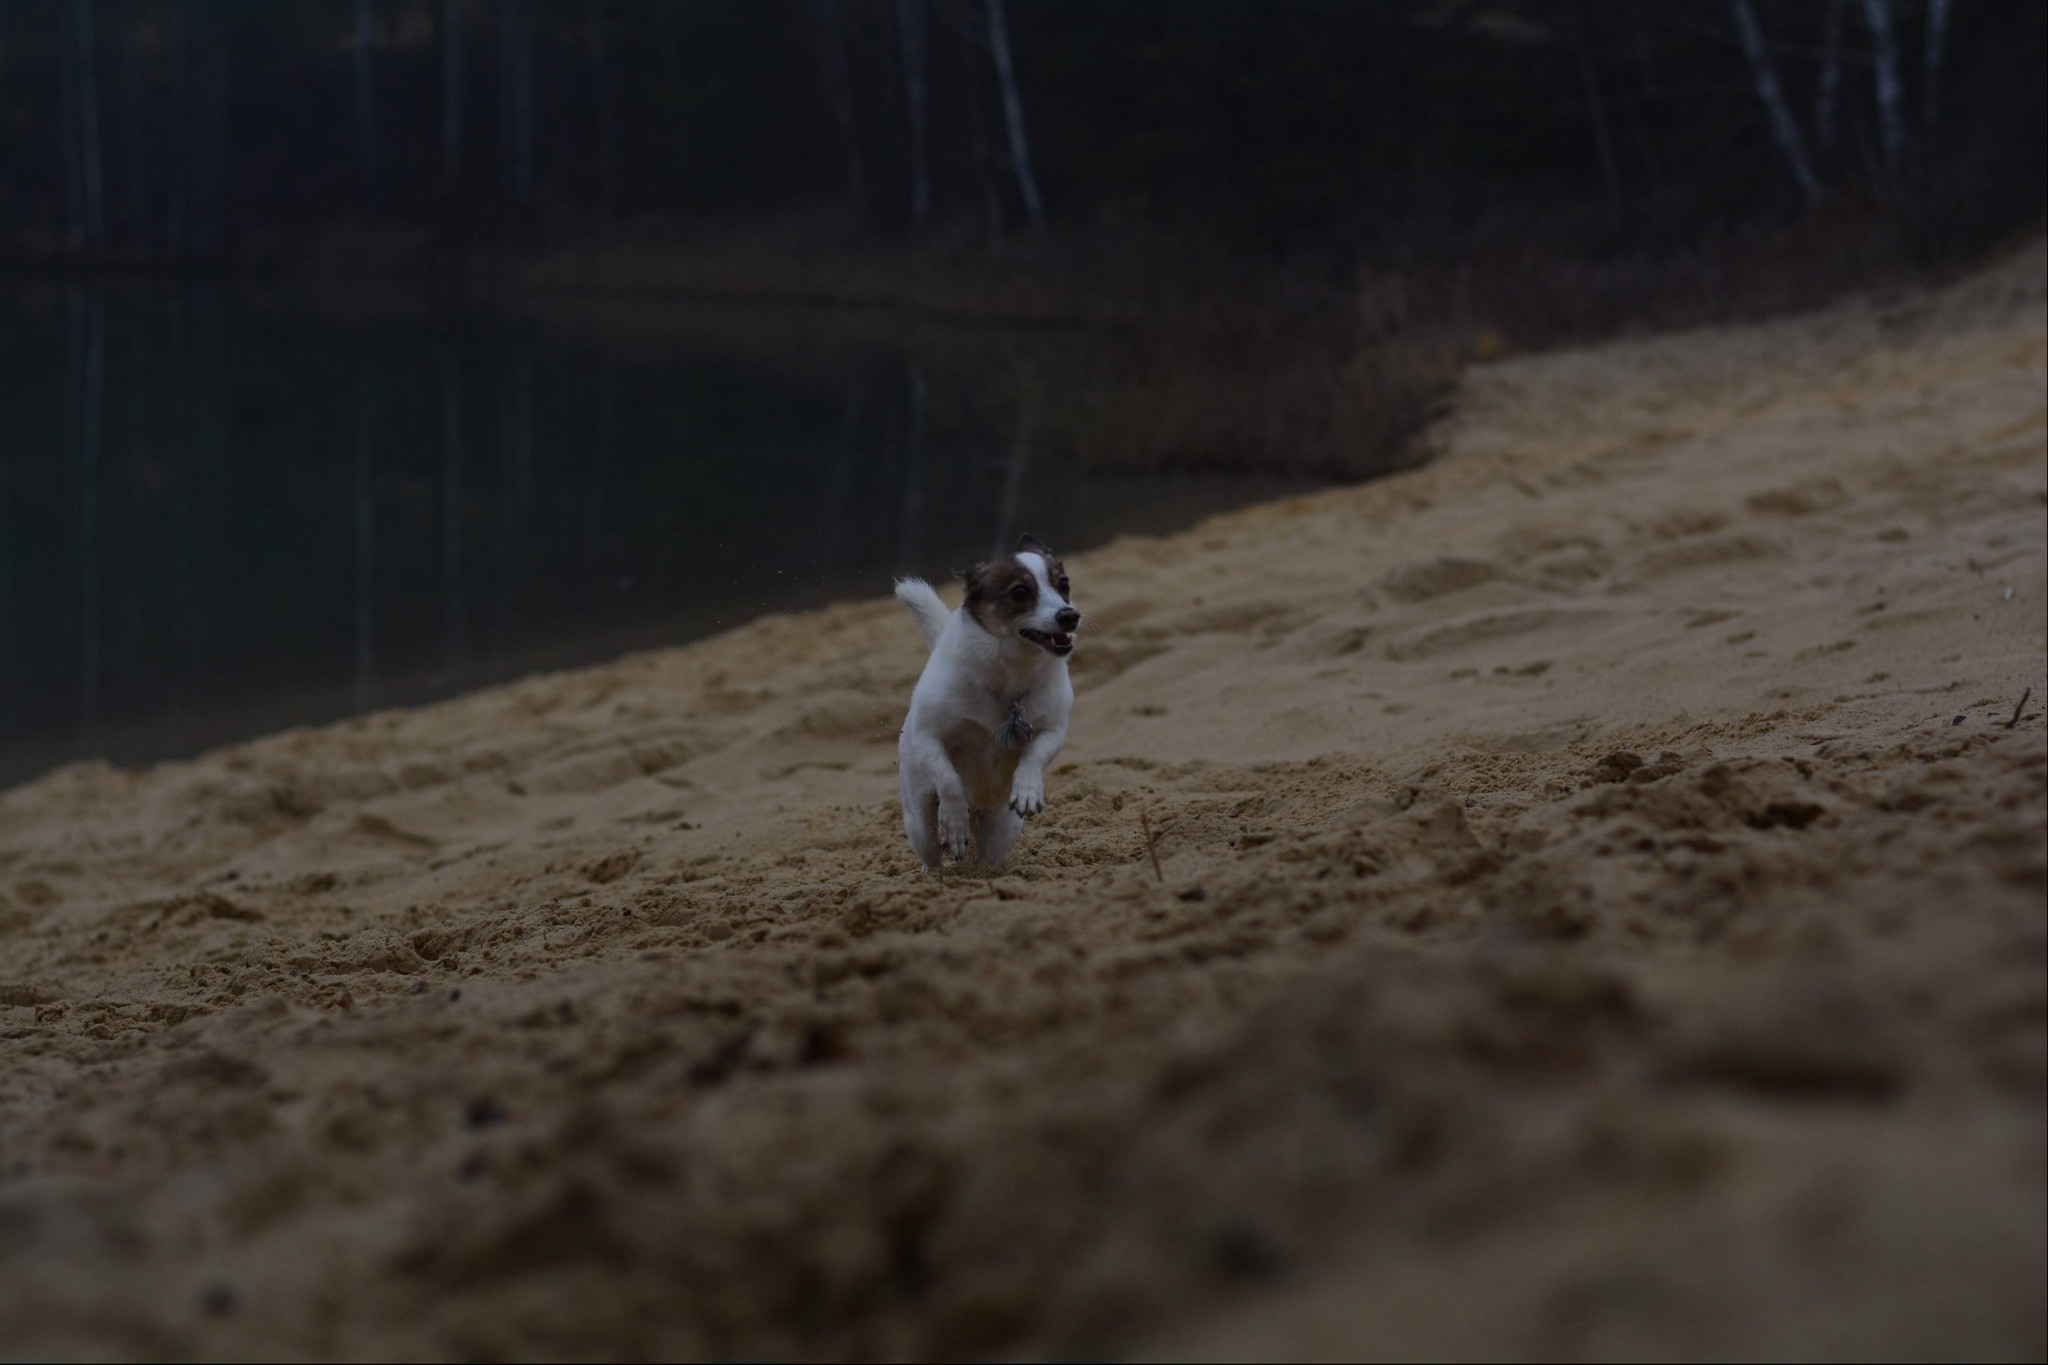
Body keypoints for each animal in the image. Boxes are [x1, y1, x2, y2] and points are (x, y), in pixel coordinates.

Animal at [897, 536, 1089, 871]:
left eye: (1063, 584)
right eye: (1020, 592)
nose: (1069, 615)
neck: (1008, 683)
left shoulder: (1052, 731)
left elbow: (1034, 756)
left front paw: (1028, 790)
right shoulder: (929, 737)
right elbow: (949, 780)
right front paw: (954, 823)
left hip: (1003, 826)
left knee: (986, 858)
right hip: (919, 822)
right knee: (931, 855)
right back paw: (936, 871)